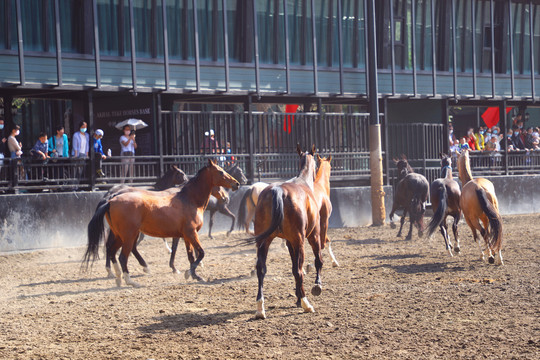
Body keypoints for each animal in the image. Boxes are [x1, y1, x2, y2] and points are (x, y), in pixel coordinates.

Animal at [83, 160, 239, 286]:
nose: (236, 184)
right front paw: (188, 272)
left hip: (119, 235)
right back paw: (130, 280)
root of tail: (111, 200)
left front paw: (194, 275)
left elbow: (190, 256)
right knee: (122, 256)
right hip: (128, 235)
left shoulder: (186, 236)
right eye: (221, 171)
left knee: (111, 251)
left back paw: (118, 278)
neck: (189, 199)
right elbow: (200, 253)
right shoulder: (191, 233)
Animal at [252, 145, 322, 320]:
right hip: (300, 242)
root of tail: (277, 190)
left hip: (264, 242)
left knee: (261, 270)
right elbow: (317, 260)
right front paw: (317, 285)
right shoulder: (313, 236)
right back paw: (306, 304)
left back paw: (260, 308)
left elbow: (292, 267)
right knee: (299, 271)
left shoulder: (290, 242)